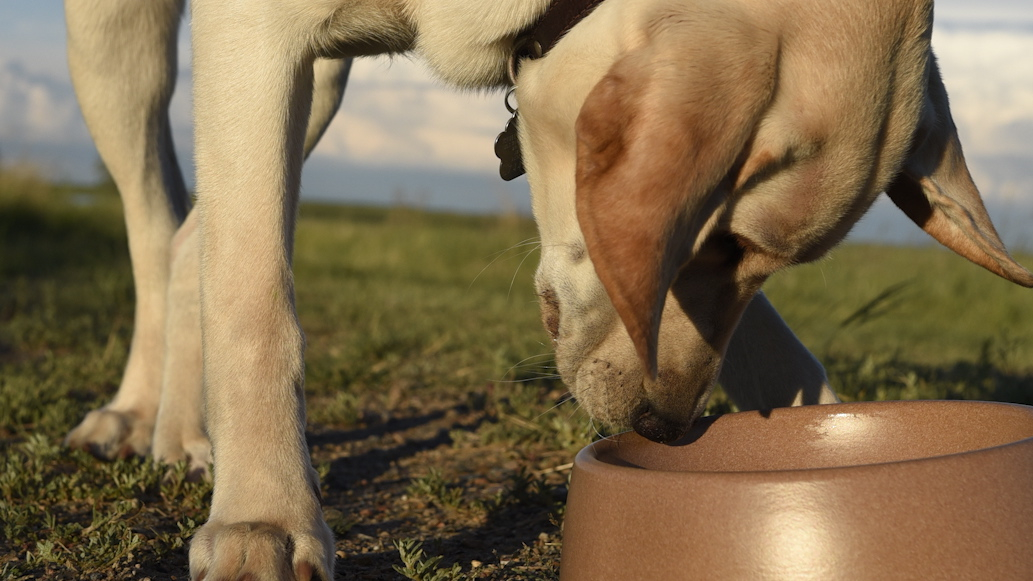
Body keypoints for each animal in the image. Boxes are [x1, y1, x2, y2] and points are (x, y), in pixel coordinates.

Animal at [62, 0, 1024, 574]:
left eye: (748, 255)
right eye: (719, 241)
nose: (665, 426)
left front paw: (821, 426)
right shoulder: (253, 36)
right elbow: (259, 302)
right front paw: (264, 518)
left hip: (322, 76)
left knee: (194, 232)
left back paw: (182, 425)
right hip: (126, 51)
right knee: (157, 218)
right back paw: (139, 413)